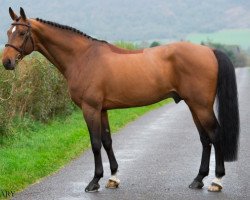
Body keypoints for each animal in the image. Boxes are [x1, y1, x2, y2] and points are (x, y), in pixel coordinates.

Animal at [2, 7, 240, 192]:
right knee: (205, 139)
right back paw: (198, 180)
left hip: (201, 106)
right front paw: (113, 178)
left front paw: (94, 181)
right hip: (193, 105)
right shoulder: (102, 109)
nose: (7, 62)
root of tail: (209, 51)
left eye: (22, 32)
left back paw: (216, 181)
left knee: (215, 135)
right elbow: (107, 141)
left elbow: (95, 143)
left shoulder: (90, 108)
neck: (83, 57)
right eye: (8, 32)